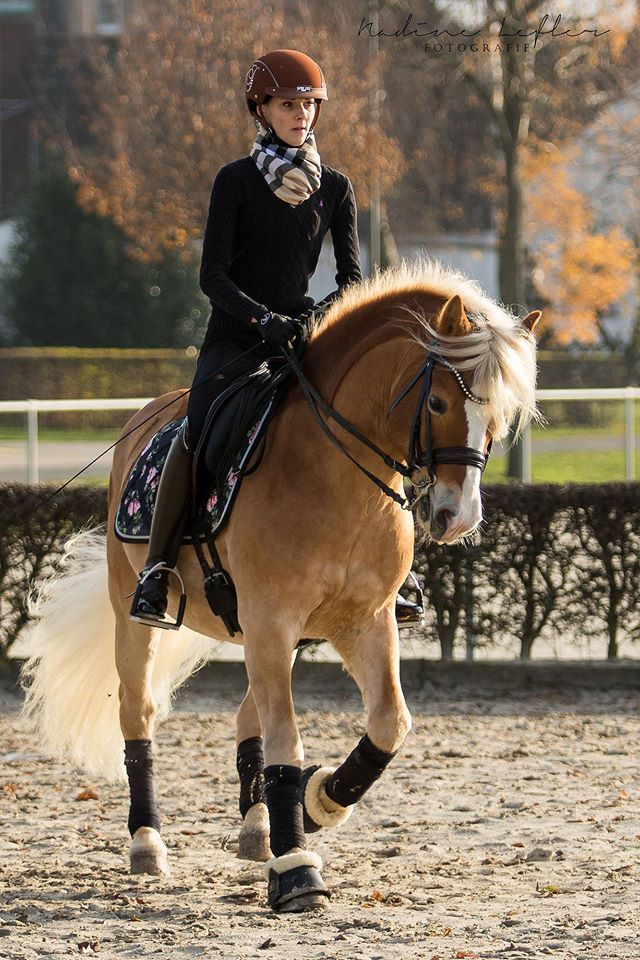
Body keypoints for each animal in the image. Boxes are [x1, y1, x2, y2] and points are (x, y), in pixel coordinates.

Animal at [21, 260, 540, 916]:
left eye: (501, 415)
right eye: (441, 400)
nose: (458, 517)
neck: (337, 477)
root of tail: (148, 416)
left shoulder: (366, 621)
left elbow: (388, 723)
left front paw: (320, 804)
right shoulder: (272, 619)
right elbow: (288, 741)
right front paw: (297, 870)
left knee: (251, 716)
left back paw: (258, 827)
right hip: (136, 616)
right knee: (139, 716)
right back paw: (147, 842)